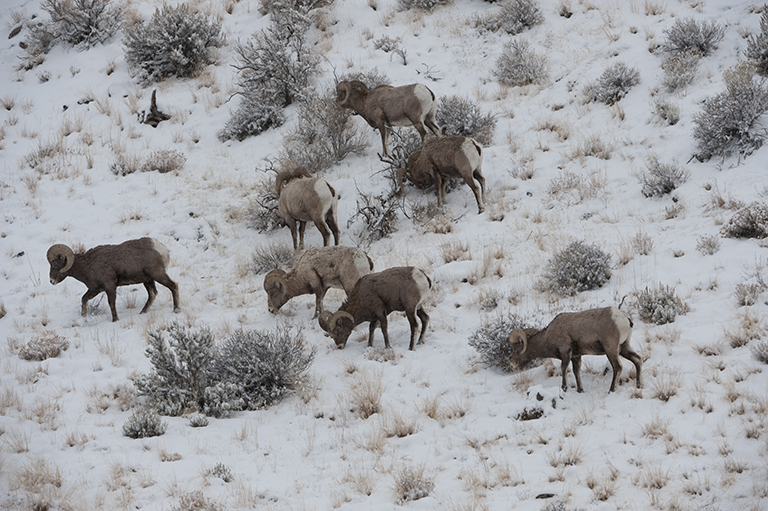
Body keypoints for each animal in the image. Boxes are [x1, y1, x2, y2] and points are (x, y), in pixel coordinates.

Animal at [47, 237, 180, 324]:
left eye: (54, 264)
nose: (51, 281)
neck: (87, 266)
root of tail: (162, 249)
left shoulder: (110, 287)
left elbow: (111, 303)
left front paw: (115, 320)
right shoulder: (95, 289)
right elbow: (84, 299)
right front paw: (84, 317)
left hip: (158, 275)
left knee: (173, 286)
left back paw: (176, 310)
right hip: (148, 280)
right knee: (152, 294)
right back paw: (142, 312)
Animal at [510, 306, 640, 394]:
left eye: (516, 350)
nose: (513, 364)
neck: (548, 336)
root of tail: (625, 319)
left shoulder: (565, 353)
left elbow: (563, 369)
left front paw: (564, 388)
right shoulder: (576, 356)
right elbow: (576, 371)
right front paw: (580, 390)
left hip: (611, 350)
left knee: (618, 367)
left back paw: (611, 390)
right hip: (624, 347)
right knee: (637, 359)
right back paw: (639, 386)